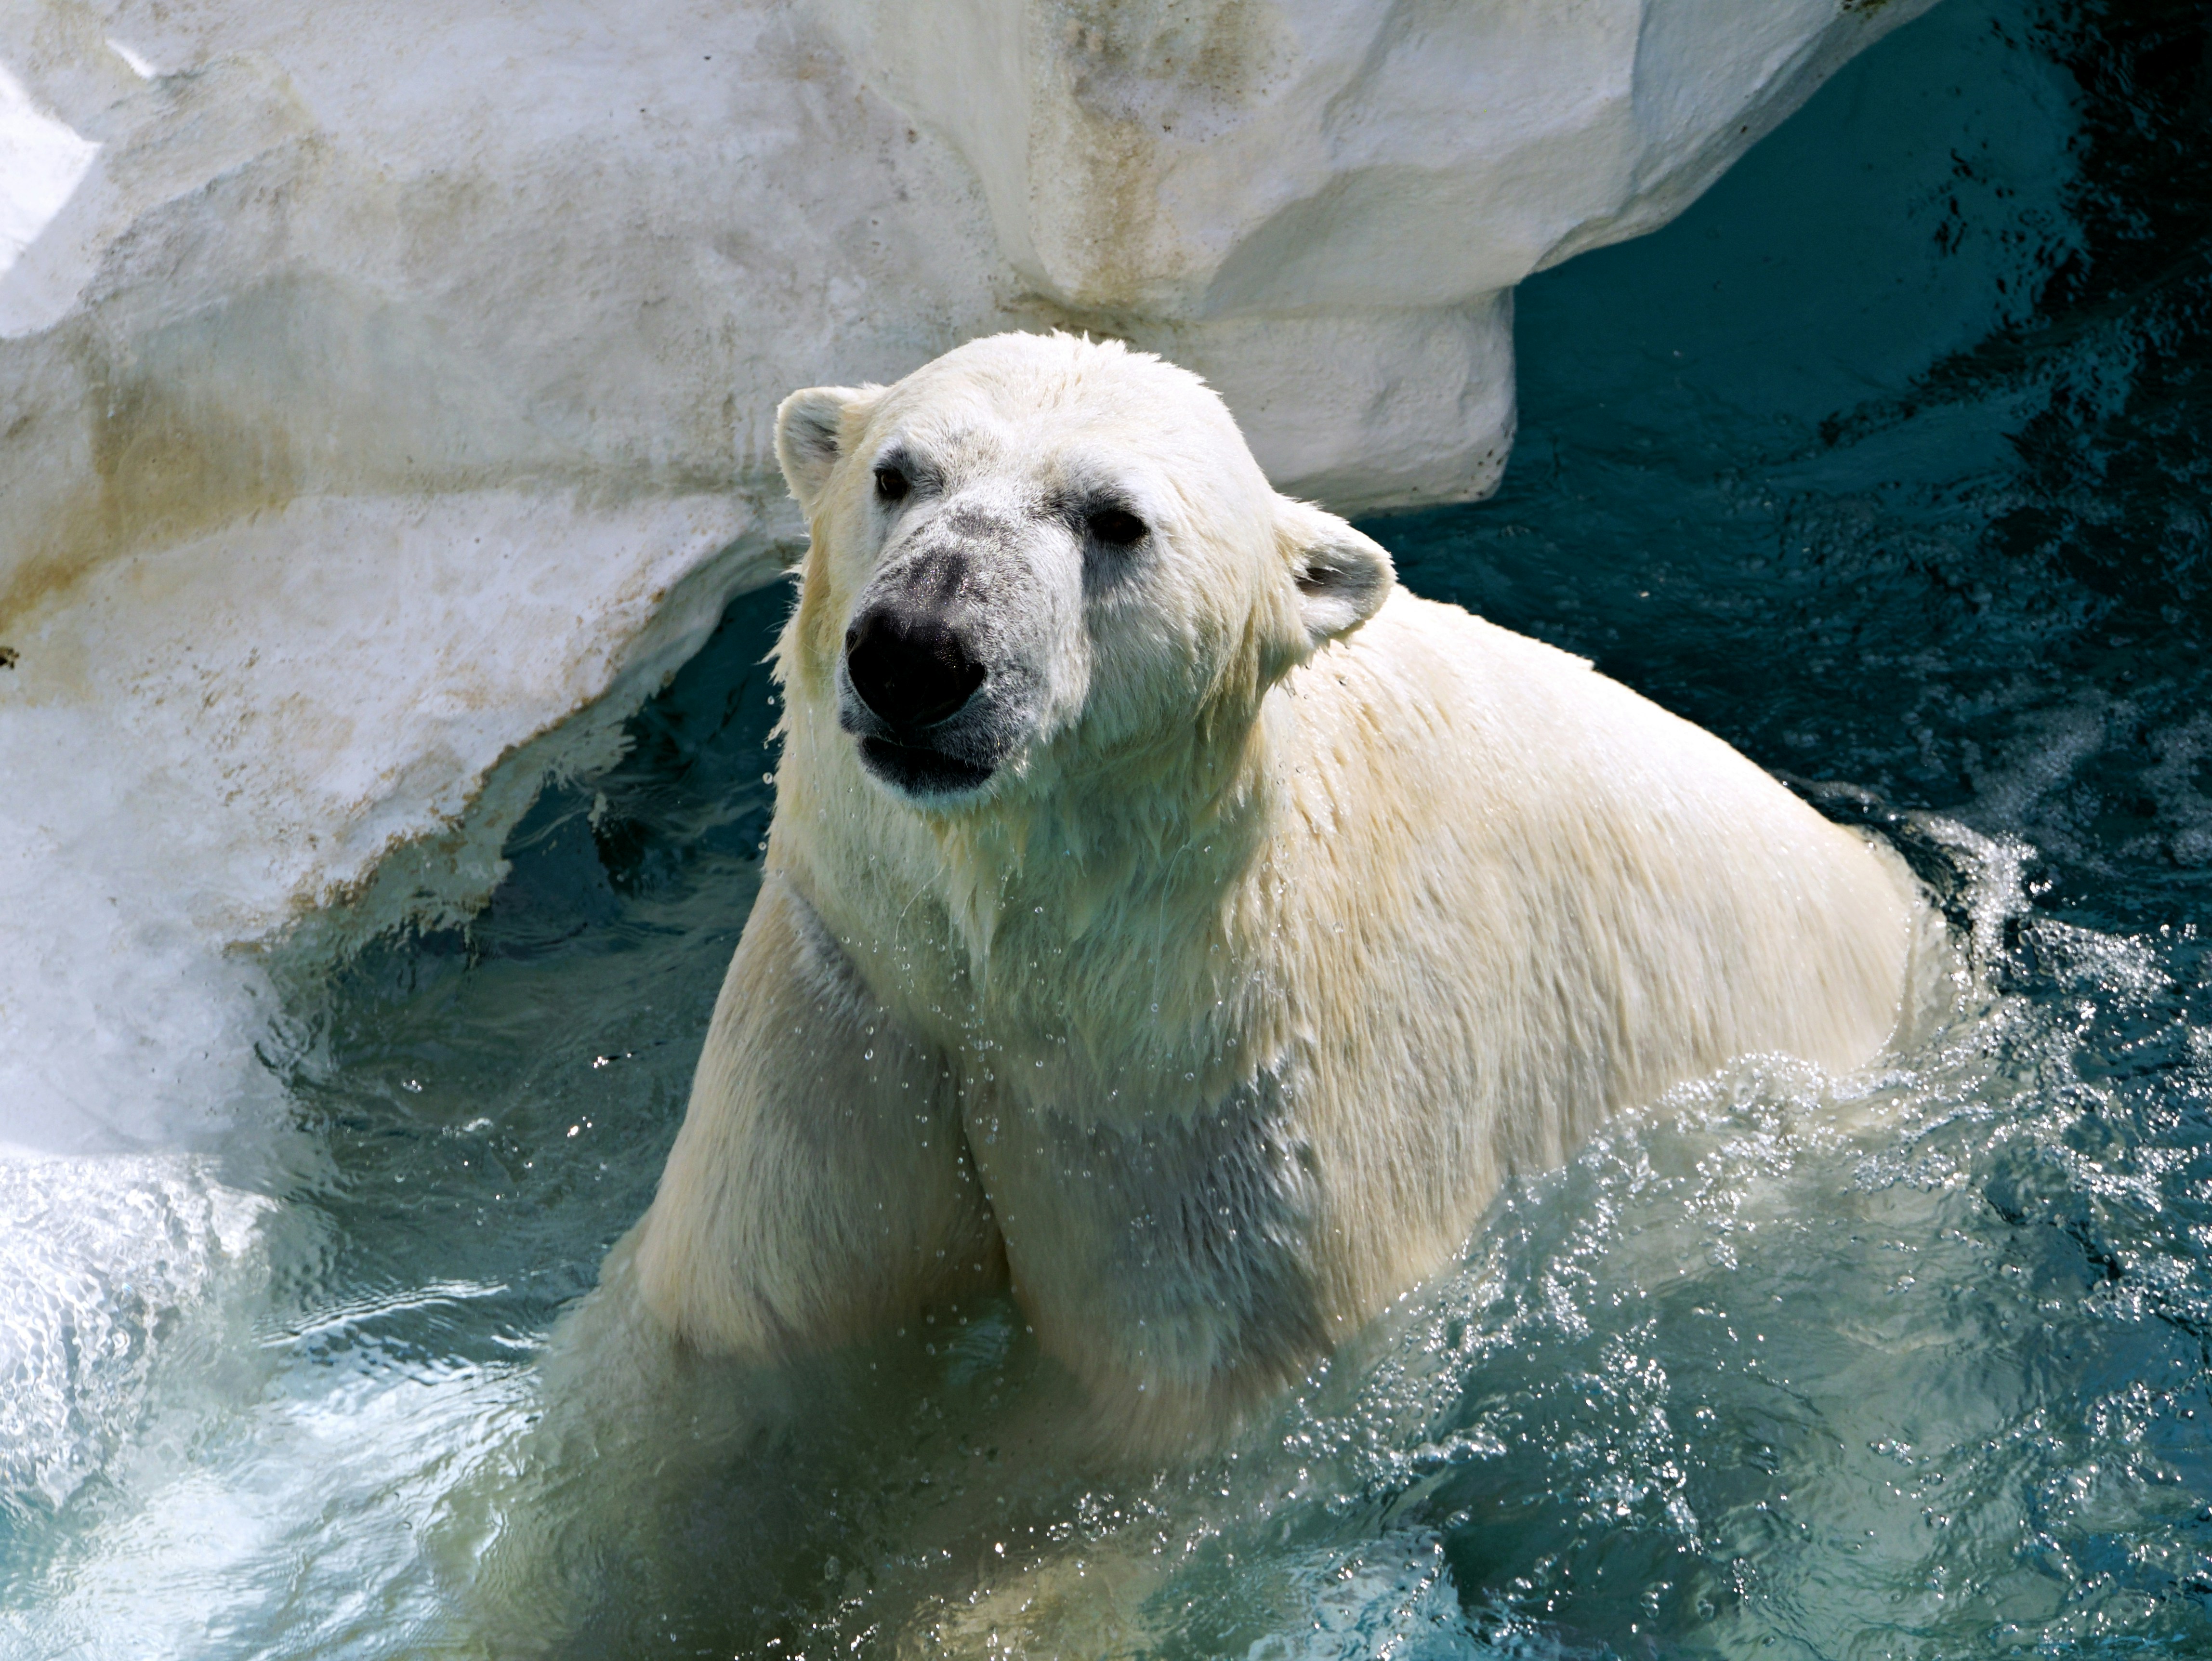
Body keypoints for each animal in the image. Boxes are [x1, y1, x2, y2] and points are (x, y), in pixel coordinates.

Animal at [624, 329, 1920, 1457]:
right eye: (897, 473)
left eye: (1116, 520)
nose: (915, 652)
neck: (1038, 985)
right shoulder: (855, 993)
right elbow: (737, 1332)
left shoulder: (1209, 1099)